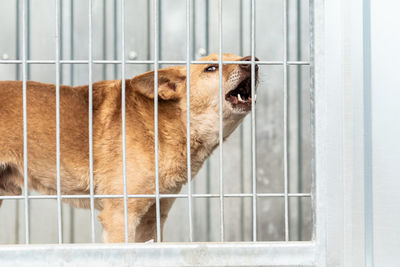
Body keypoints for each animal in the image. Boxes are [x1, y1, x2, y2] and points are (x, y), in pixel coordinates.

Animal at [0, 53, 260, 244]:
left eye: (240, 55)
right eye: (211, 68)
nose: (252, 60)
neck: (168, 124)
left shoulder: (152, 219)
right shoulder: (120, 215)